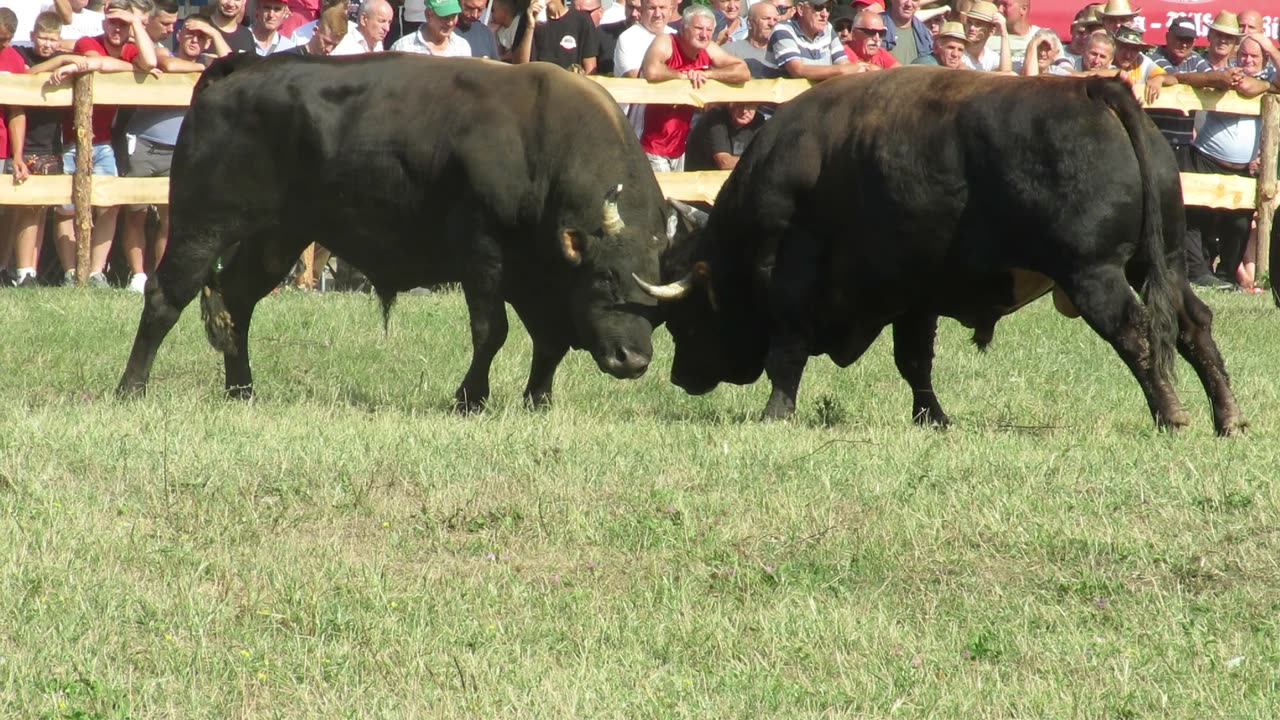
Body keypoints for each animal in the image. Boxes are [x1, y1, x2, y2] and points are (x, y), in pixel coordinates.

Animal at [116, 53, 670, 407]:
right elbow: (492, 332)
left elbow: (549, 339)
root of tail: (238, 70)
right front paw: (470, 398)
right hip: (201, 227)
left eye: (657, 297)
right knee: (167, 297)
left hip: (277, 237)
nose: (633, 359)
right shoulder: (483, 257)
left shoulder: (538, 274)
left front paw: (538, 399)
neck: (541, 141)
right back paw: (132, 388)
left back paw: (242, 390)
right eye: (605, 280)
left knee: (236, 300)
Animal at [640, 68, 1249, 430]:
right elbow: (914, 362)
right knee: (1193, 325)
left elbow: (785, 355)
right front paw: (931, 418)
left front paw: (775, 414)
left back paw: (1172, 415)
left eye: (682, 320)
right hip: (1162, 261)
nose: (679, 379)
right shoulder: (915, 298)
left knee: (1137, 332)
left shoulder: (793, 284)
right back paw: (1228, 418)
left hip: (1095, 274)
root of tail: (1092, 87)